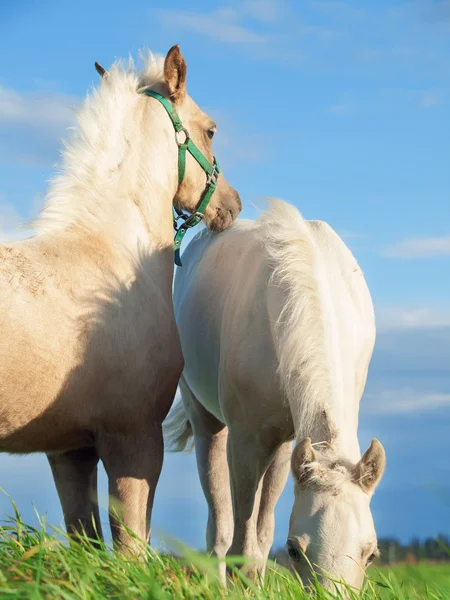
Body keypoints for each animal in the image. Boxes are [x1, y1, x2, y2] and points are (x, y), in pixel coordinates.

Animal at [0, 45, 241, 552]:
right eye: (211, 130)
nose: (233, 204)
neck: (112, 253)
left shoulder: (70, 449)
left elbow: (89, 543)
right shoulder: (133, 438)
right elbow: (131, 547)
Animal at [167, 200, 384, 592]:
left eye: (371, 554)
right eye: (295, 550)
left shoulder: (287, 440)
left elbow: (263, 530)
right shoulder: (246, 441)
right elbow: (241, 537)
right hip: (207, 422)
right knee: (219, 524)